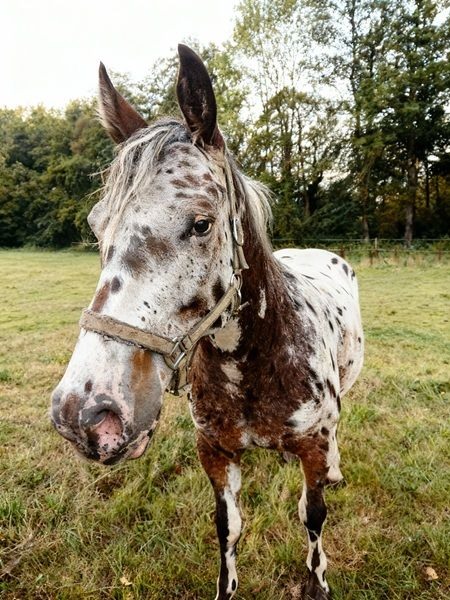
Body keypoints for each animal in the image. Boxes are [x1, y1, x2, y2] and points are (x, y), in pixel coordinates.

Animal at [51, 44, 364, 600]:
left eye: (202, 223)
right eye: (95, 225)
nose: (83, 414)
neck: (257, 362)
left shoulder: (311, 446)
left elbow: (312, 515)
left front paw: (318, 581)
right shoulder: (214, 452)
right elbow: (229, 529)